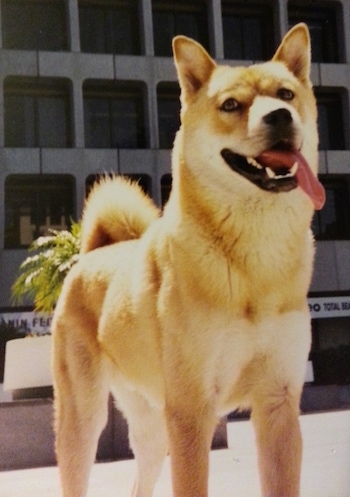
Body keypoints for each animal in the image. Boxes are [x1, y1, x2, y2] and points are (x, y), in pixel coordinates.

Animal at [52, 23, 326, 496]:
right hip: (84, 420)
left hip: (151, 425)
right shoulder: (192, 411)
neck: (254, 261)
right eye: (231, 104)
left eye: (286, 94)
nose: (279, 117)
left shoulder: (278, 402)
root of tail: (93, 254)